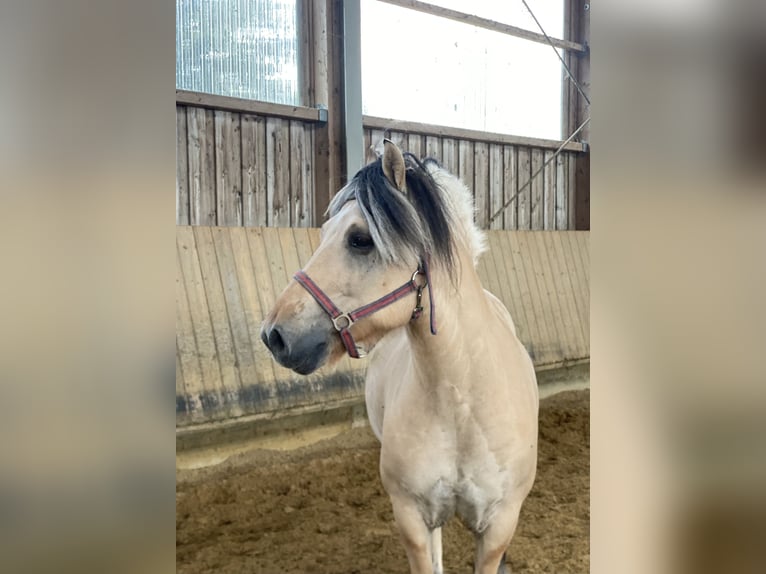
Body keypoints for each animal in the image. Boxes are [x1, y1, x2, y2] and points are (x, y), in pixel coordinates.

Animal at [264, 141, 540, 574]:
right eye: (324, 233)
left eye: (360, 239)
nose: (274, 336)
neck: (462, 401)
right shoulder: (411, 518)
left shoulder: (498, 526)